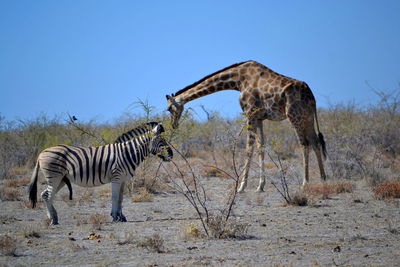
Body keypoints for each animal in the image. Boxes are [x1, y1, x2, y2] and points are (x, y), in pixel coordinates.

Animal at [27, 122, 172, 225]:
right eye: (161, 141)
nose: (171, 155)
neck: (128, 153)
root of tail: (41, 153)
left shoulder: (123, 179)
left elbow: (121, 198)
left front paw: (121, 216)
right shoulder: (116, 177)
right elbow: (114, 197)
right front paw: (115, 217)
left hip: (61, 178)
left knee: (45, 195)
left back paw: (53, 218)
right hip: (54, 176)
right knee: (47, 195)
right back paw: (53, 219)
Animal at [166, 60, 324, 193]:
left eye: (169, 109)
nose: (173, 125)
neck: (238, 80)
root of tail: (310, 94)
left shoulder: (250, 114)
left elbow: (248, 148)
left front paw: (241, 186)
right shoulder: (259, 118)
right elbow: (261, 148)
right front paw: (260, 186)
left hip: (294, 116)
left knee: (304, 144)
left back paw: (305, 183)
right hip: (308, 117)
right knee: (315, 142)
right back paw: (323, 178)